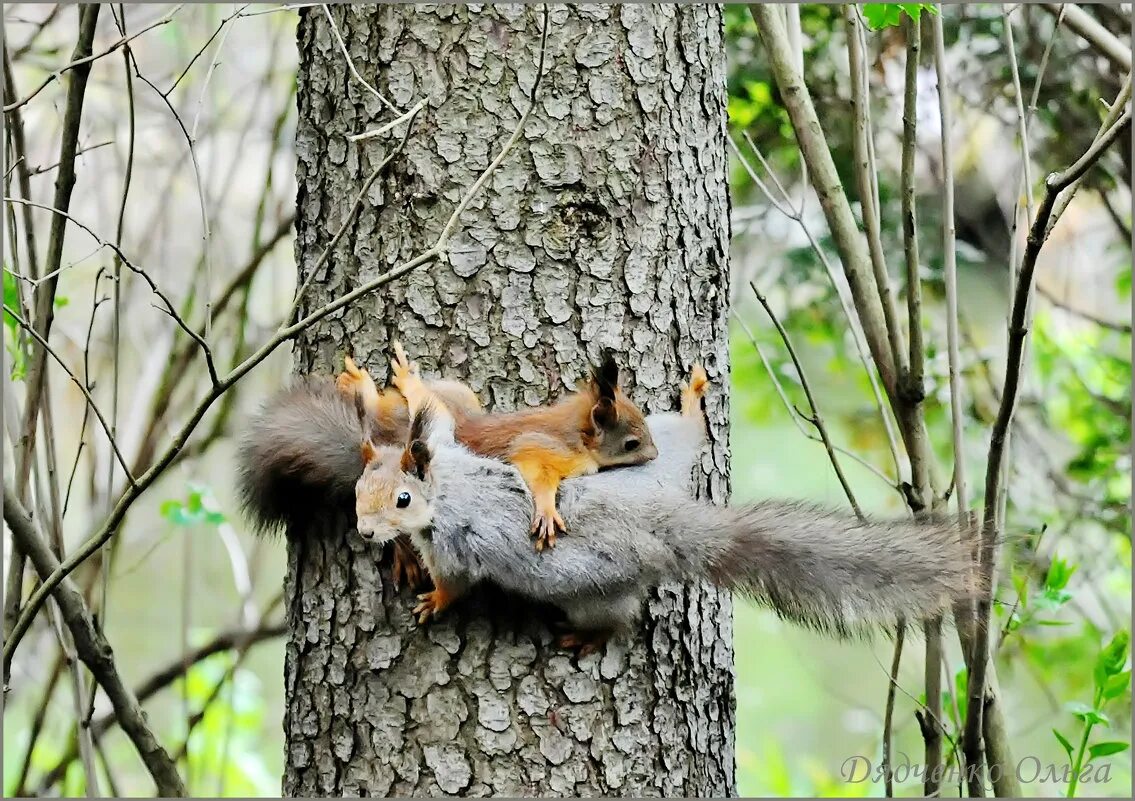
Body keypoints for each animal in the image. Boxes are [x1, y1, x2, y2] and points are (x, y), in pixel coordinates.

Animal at [340, 340, 658, 546]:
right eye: (632, 443)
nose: (655, 455)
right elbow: (535, 472)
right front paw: (546, 511)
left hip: (458, 396)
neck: (575, 433)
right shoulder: (540, 446)